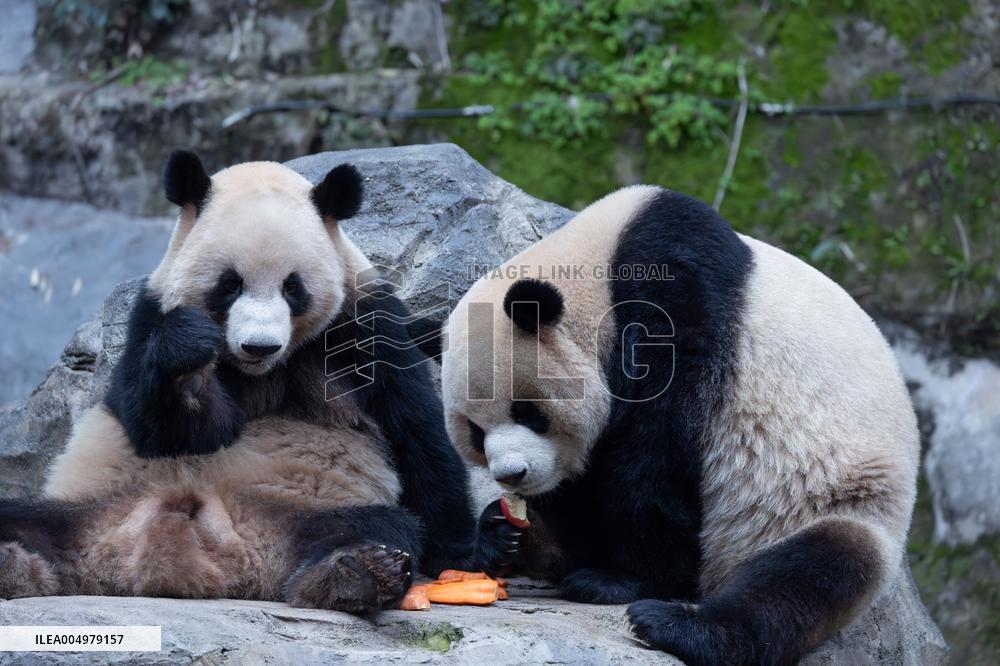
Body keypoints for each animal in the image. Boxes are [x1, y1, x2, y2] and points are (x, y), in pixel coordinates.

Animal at [0, 151, 475, 611]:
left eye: (292, 287)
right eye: (229, 284)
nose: (259, 345)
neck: (258, 370)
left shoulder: (365, 324)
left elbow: (414, 429)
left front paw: (465, 552)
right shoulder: (149, 317)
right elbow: (163, 431)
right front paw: (188, 359)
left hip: (312, 513)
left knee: (377, 525)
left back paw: (357, 573)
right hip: (90, 508)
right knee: (23, 516)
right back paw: (13, 564)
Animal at [442, 186, 919, 664]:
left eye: (528, 412)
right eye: (476, 434)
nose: (512, 475)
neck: (598, 270)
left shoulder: (678, 301)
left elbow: (653, 456)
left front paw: (619, 580)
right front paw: (509, 536)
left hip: (833, 500)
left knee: (806, 578)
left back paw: (676, 626)